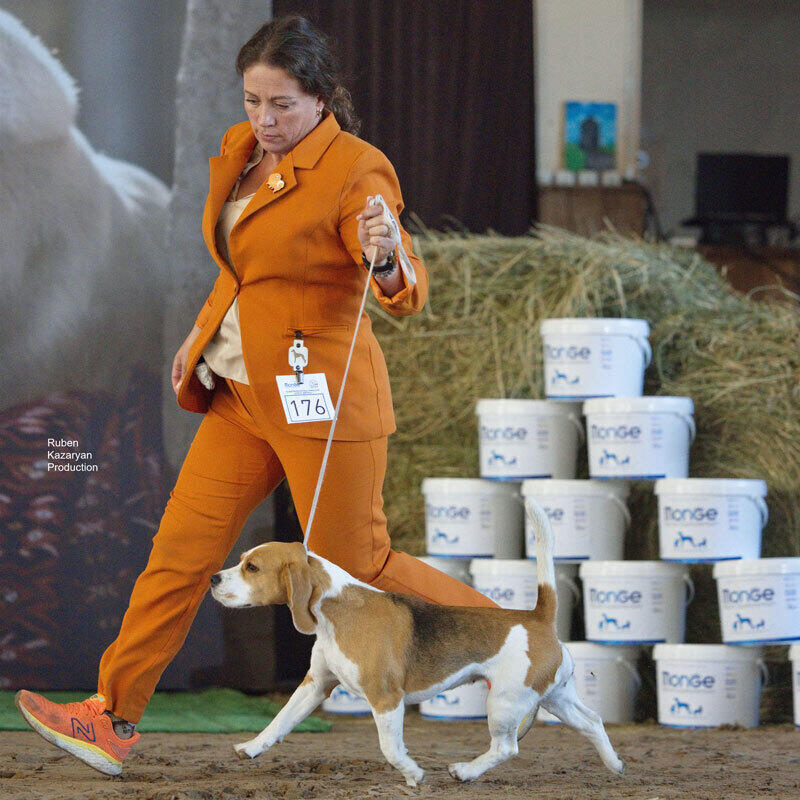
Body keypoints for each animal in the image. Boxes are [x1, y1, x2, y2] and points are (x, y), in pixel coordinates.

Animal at [212, 504, 624, 784]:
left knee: (506, 747)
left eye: (252, 568)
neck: (337, 610)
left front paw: (413, 774)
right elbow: (280, 721)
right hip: (555, 697)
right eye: (243, 560)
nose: (214, 578)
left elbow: (391, 749)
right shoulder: (316, 685)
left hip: (505, 702)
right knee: (592, 722)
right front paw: (251, 747)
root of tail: (537, 617)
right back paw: (615, 765)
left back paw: (466, 771)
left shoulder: (385, 697)